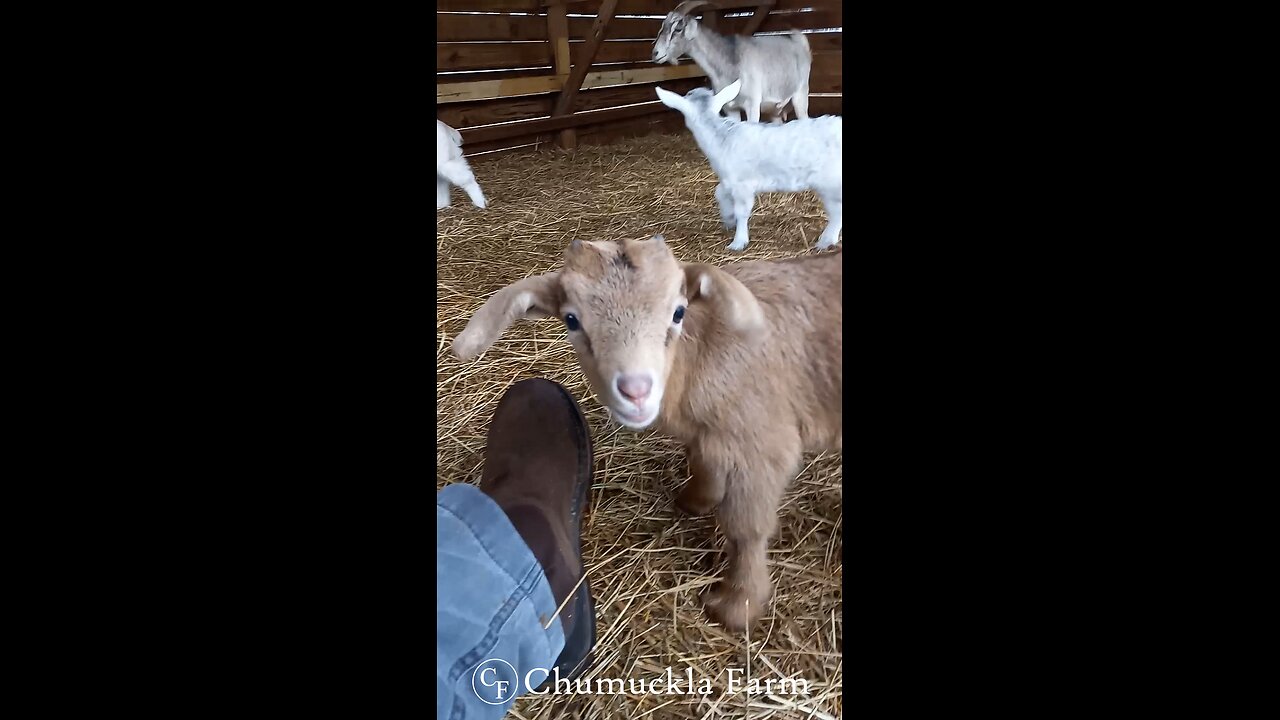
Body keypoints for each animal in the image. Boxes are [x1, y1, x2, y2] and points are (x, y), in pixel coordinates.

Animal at [450, 237, 839, 627]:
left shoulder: (761, 443)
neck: (697, 354)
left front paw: (737, 604)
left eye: (678, 312)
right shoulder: (711, 438)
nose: (636, 390)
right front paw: (694, 500)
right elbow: (701, 462)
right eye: (572, 320)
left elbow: (746, 530)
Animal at [650, 0, 808, 121]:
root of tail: (799, 41)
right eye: (662, 27)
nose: (655, 54)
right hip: (775, 110)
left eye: (678, 28)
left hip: (800, 96)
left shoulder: (752, 105)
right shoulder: (729, 108)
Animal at [660, 79, 839, 249]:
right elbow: (719, 192)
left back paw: (826, 241)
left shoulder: (743, 185)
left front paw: (738, 241)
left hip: (829, 183)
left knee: (837, 212)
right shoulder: (729, 180)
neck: (722, 137)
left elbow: (742, 212)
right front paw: (728, 218)